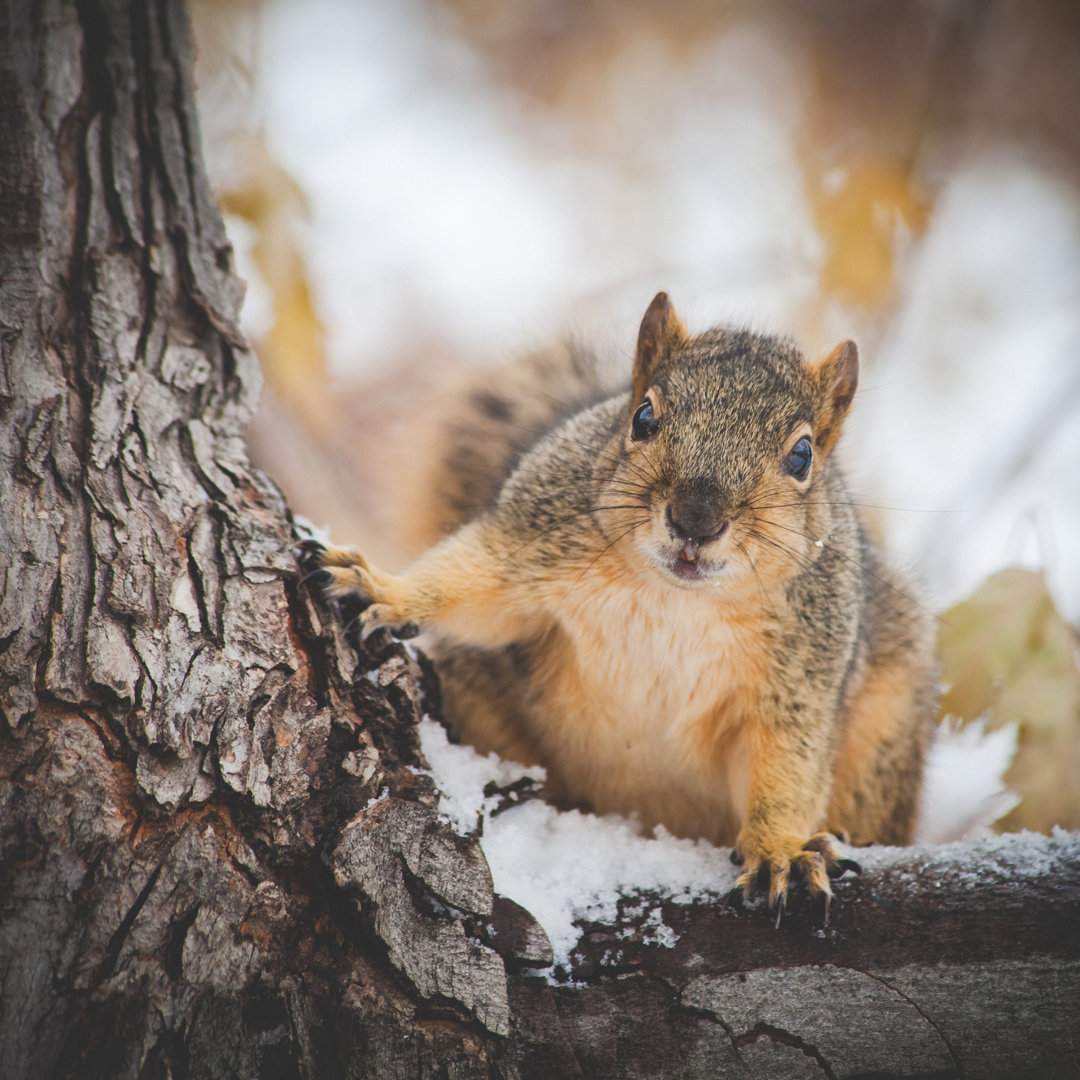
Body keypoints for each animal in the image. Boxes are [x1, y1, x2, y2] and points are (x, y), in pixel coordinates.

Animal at [304, 291, 937, 907]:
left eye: (802, 456)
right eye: (644, 417)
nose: (695, 520)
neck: (676, 599)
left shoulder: (804, 676)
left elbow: (786, 767)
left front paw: (780, 849)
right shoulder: (532, 536)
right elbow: (471, 584)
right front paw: (382, 586)